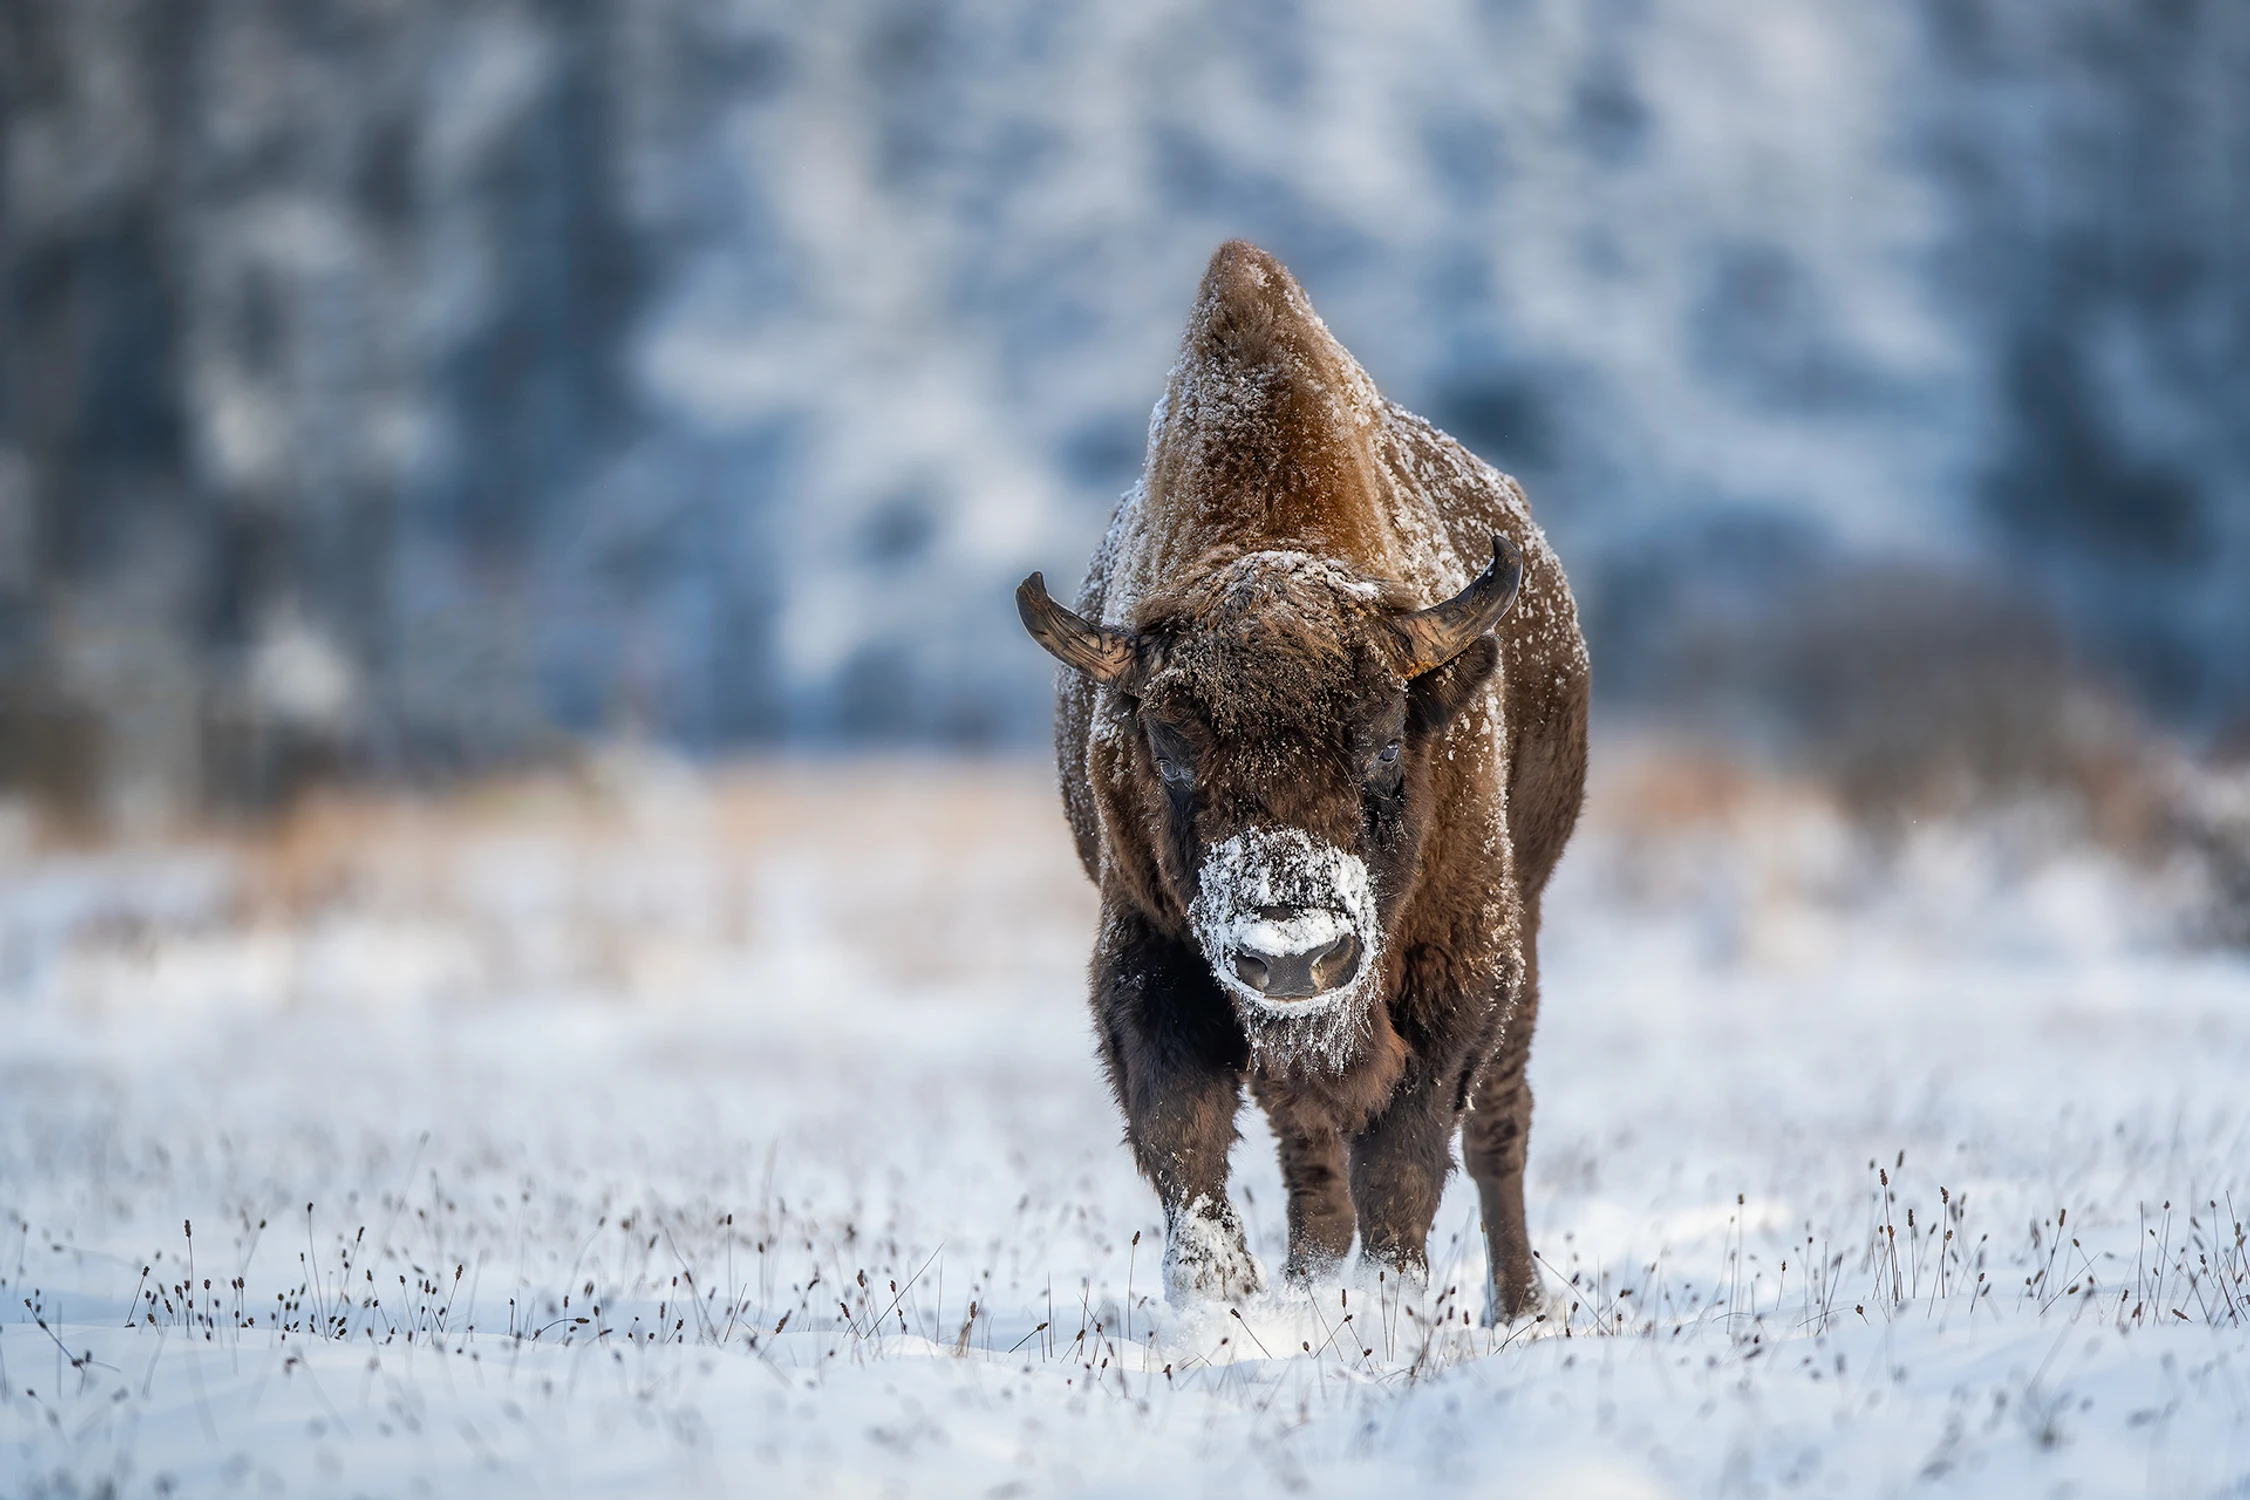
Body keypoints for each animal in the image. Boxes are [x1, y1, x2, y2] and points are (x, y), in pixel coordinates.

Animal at [1012, 237, 1593, 1322]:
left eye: (1383, 739)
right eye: (1169, 743)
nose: (1294, 956)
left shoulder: (1465, 962)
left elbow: (1408, 1153)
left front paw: (1394, 1300)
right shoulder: (1150, 951)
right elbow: (1184, 1136)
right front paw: (1225, 1301)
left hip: (1529, 923)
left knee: (1498, 1124)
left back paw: (1519, 1302)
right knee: (1310, 1152)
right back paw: (1314, 1275)